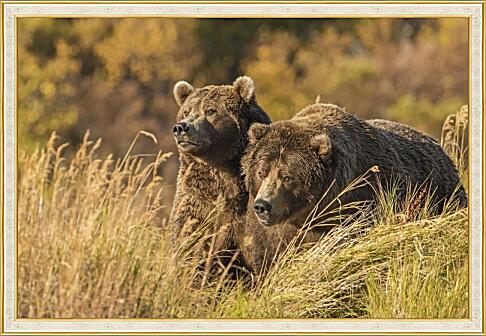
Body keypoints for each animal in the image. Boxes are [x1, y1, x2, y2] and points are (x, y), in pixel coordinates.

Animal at [242, 103, 468, 276]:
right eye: (262, 171)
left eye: (287, 176)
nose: (263, 206)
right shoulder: (269, 234)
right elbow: (267, 258)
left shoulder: (360, 207)